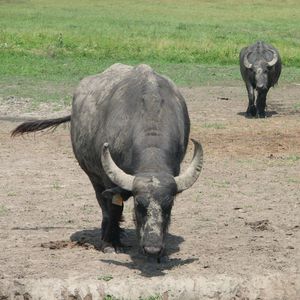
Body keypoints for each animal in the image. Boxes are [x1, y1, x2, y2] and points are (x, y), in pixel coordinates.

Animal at [12, 63, 204, 260]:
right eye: (138, 205)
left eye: (169, 205)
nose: (153, 248)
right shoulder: (108, 179)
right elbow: (113, 208)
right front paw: (110, 243)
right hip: (92, 175)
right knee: (102, 202)